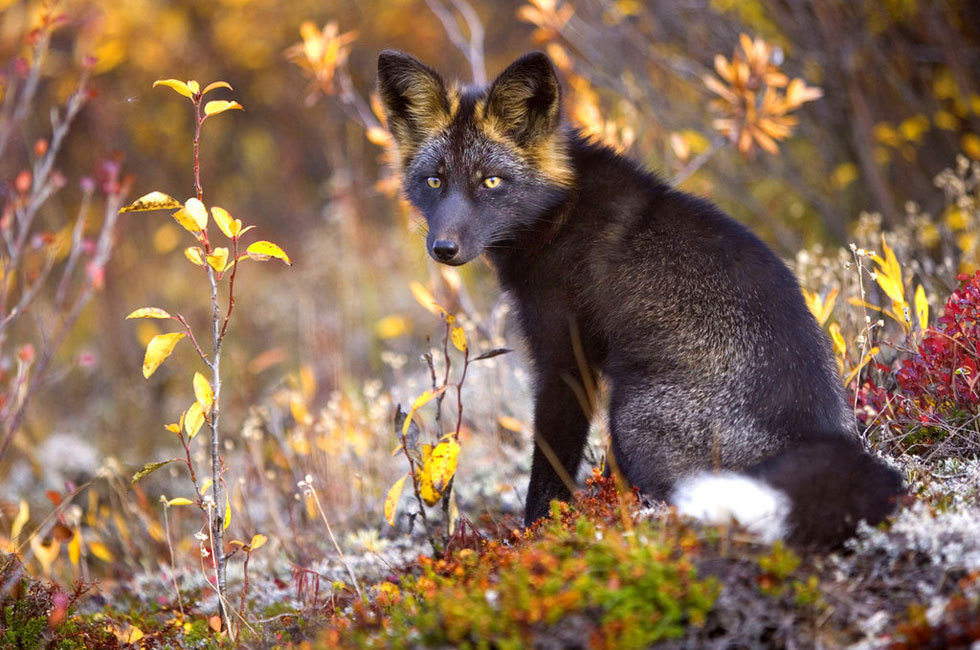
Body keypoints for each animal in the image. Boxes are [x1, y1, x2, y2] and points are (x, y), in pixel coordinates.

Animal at [376, 49, 904, 540]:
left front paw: (535, 535)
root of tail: (814, 435)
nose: (444, 248)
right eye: (434, 181)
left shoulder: (565, 361)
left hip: (627, 418)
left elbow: (548, 472)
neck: (559, 212)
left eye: (490, 181)